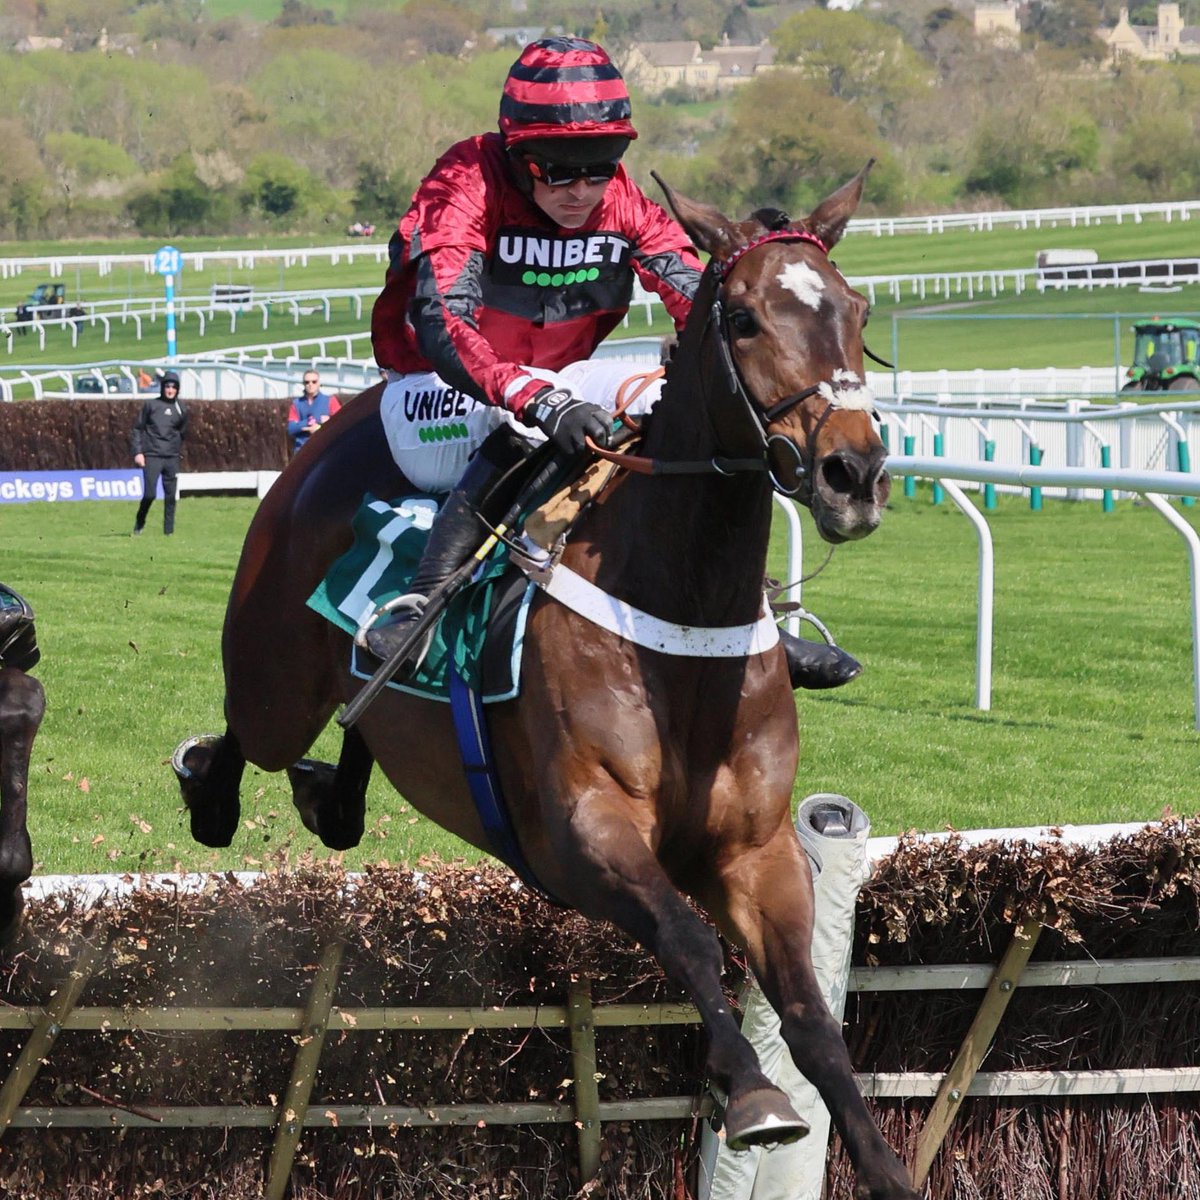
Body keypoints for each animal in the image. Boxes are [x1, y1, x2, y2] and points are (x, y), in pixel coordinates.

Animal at [175, 171, 907, 1200]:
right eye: (746, 319)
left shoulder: (755, 849)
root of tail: (329, 430)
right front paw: (755, 1095)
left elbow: (810, 1015)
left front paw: (879, 1161)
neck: (676, 611)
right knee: (250, 732)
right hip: (276, 673)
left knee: (358, 733)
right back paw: (209, 783)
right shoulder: (581, 839)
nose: (855, 473)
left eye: (857, 309)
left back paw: (336, 789)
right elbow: (685, 938)